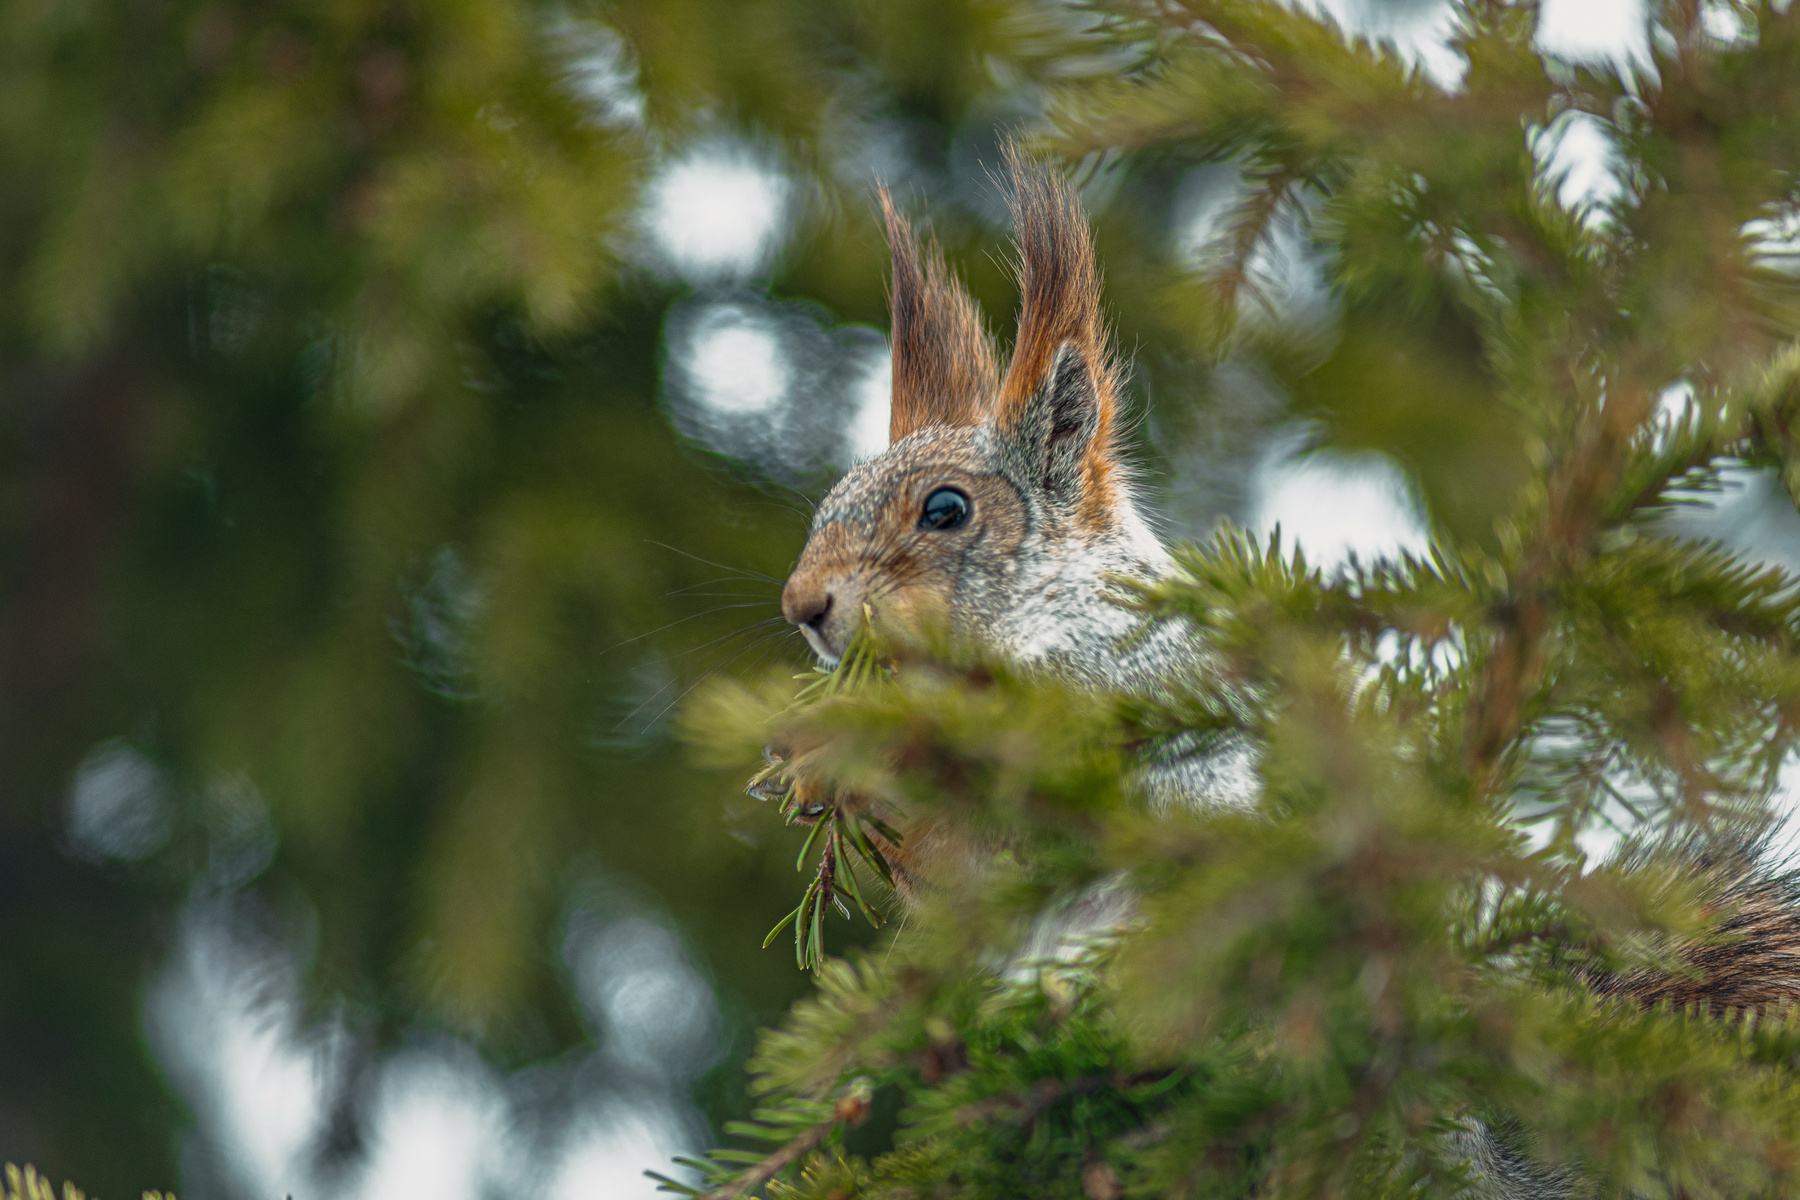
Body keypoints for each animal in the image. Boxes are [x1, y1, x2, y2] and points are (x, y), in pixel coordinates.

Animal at [762, 149, 1800, 1198]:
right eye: (825, 503)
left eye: (946, 510)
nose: (802, 604)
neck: (1038, 622)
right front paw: (812, 765)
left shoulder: (1138, 706)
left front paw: (853, 758)